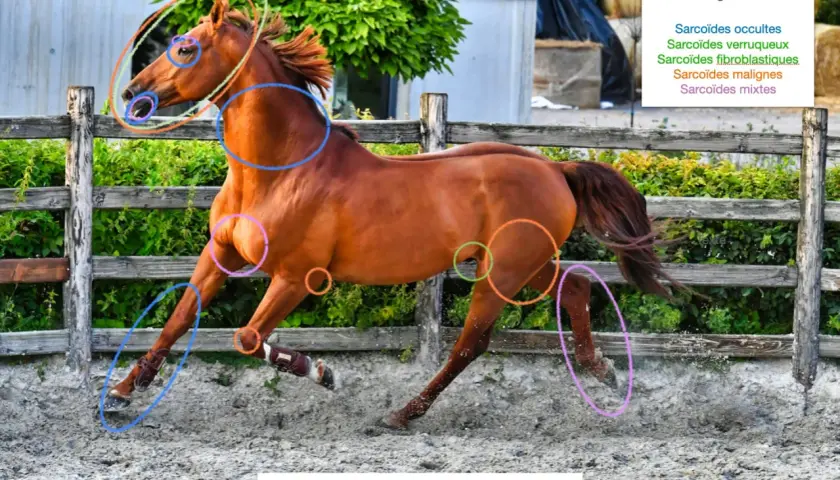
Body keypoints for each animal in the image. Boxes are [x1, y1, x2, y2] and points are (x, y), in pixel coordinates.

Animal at [103, 0, 685, 430]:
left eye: (185, 48)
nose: (133, 93)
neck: (275, 172)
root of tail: (555, 169)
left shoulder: (296, 276)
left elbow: (246, 338)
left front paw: (322, 371)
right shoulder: (220, 253)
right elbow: (179, 317)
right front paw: (122, 392)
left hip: (502, 273)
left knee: (471, 344)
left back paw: (402, 414)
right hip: (527, 263)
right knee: (575, 287)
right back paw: (602, 370)